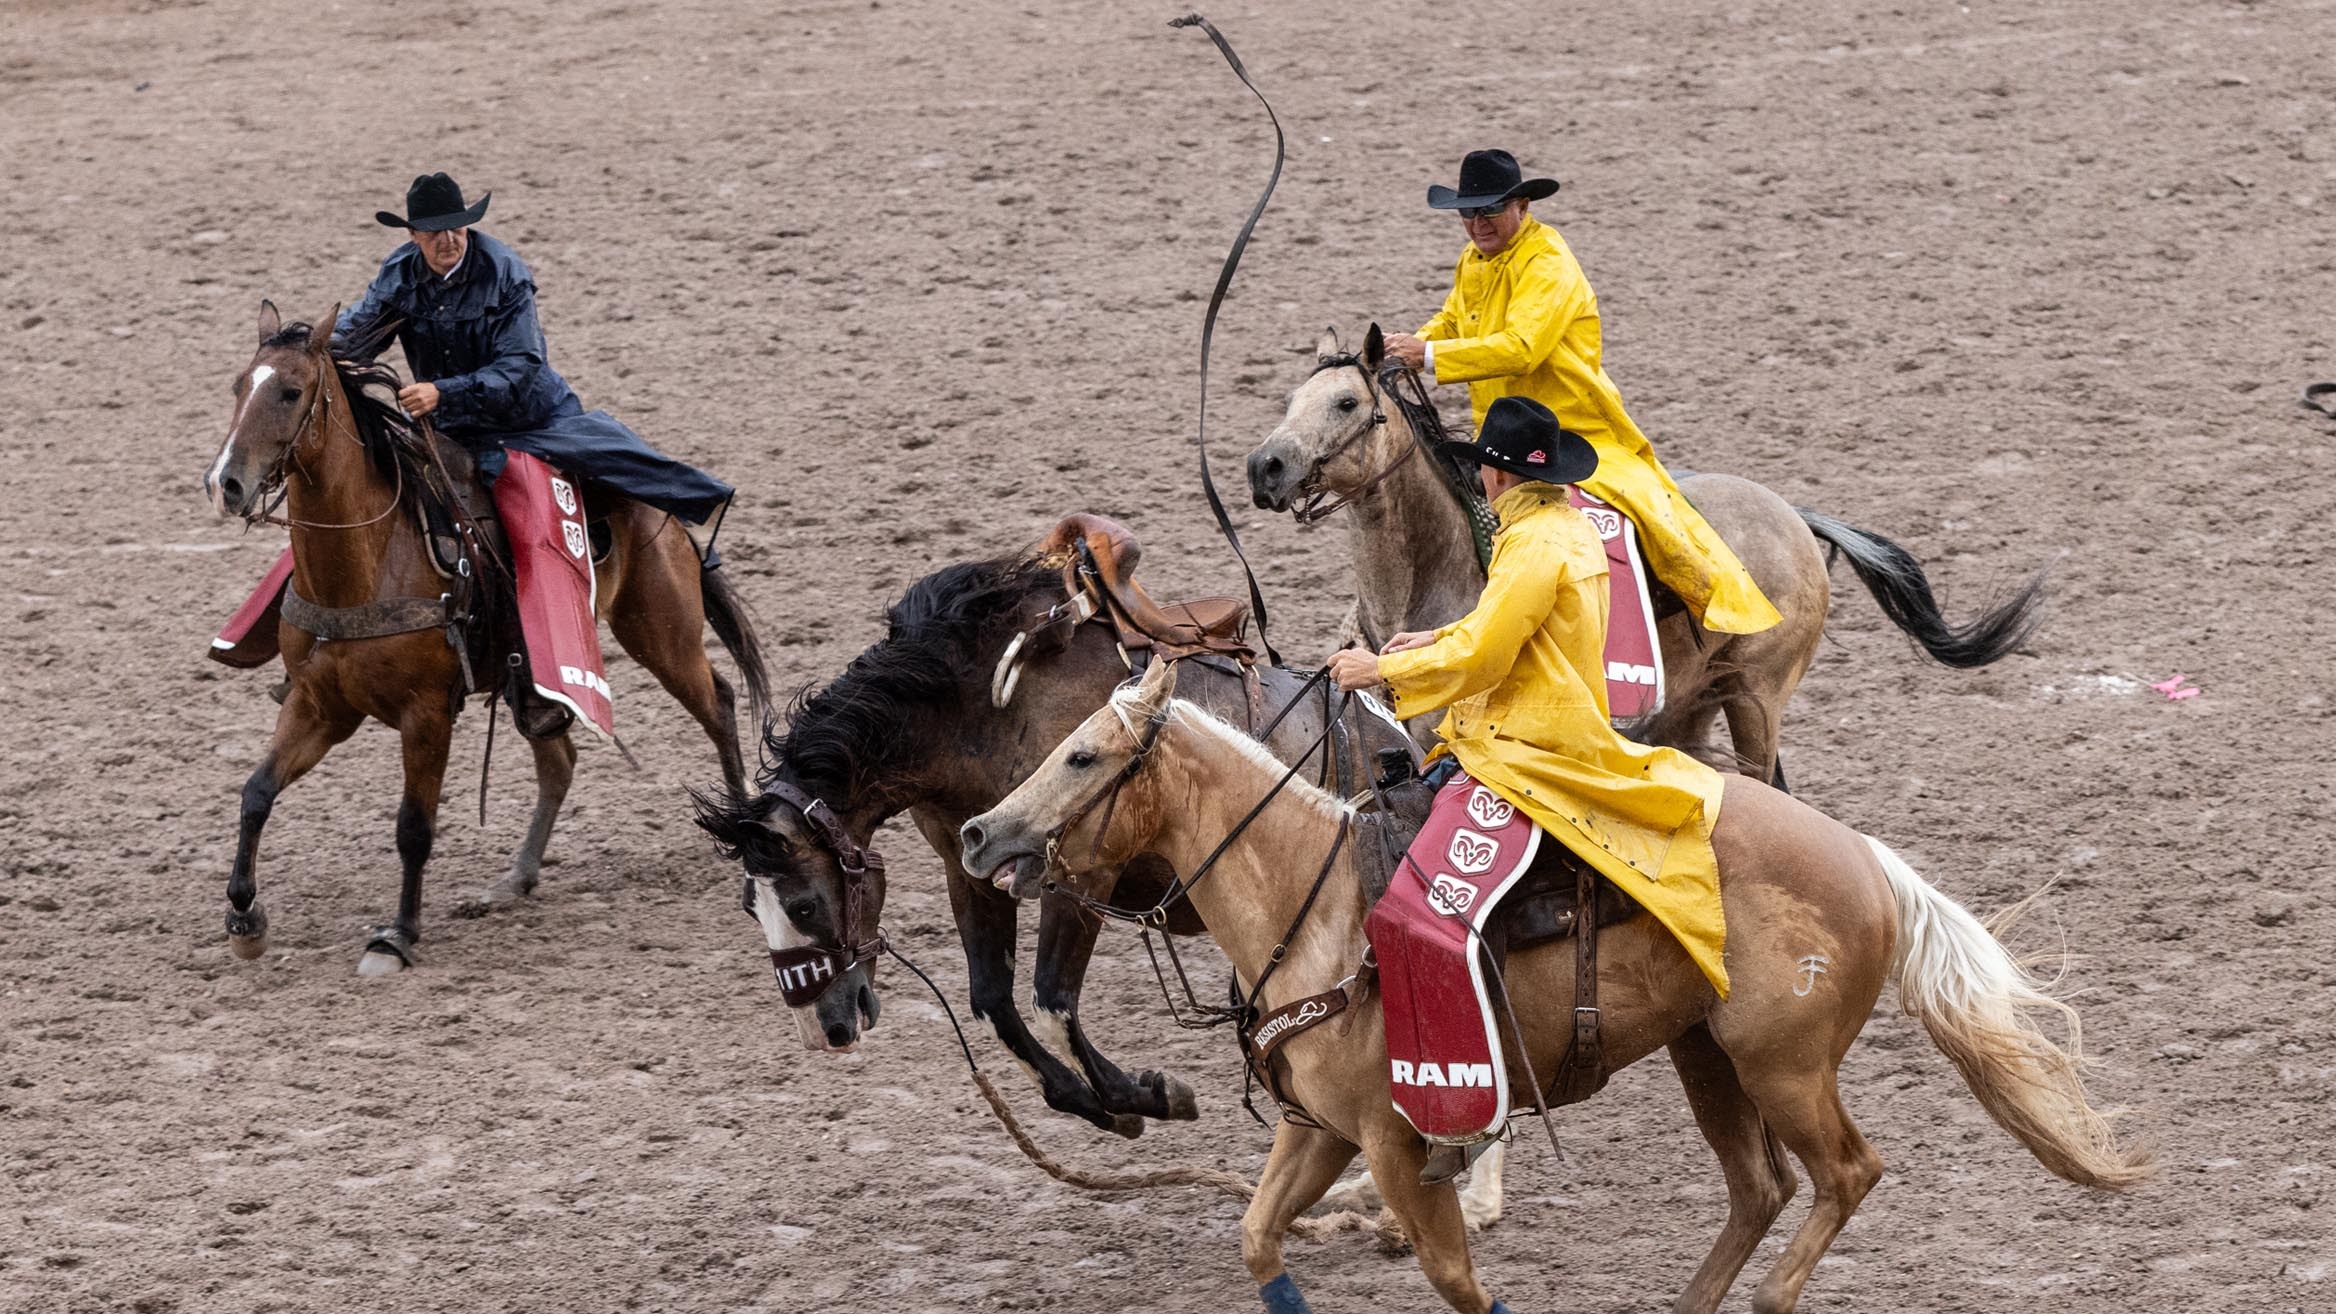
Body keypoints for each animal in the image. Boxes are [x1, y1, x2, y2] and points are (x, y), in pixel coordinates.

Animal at [202, 301, 770, 974]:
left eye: (291, 392)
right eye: (239, 386)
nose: (226, 484)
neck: (369, 562)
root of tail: (658, 506)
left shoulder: (425, 716)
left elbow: (413, 827)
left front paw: (396, 935)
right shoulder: (320, 707)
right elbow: (256, 793)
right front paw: (245, 918)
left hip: (661, 632)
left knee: (718, 705)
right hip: (543, 678)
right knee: (560, 760)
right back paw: (513, 880)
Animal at [959, 658, 2152, 1314]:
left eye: (1080, 757)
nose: (976, 833)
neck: (1318, 900)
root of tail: (1868, 860)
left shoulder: (1397, 1146)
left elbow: (1453, 1279)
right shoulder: (1320, 1131)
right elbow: (1257, 1237)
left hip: (1782, 1065)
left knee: (1844, 1175)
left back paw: (1769, 1296)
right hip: (1705, 1057)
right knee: (1758, 1190)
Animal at [1246, 326, 2047, 775]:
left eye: (1347, 403)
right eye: (1287, 401)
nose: (1265, 467)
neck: (1432, 578)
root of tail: (1796, 517)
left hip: (1756, 699)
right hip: (1690, 704)